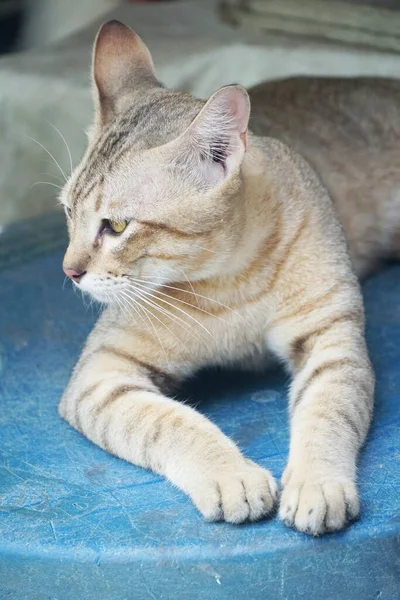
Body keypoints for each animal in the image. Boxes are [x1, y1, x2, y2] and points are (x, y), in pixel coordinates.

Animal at [60, 19, 400, 536]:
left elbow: (329, 412)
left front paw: (317, 483)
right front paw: (229, 475)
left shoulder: (332, 341)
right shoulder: (101, 372)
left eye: (116, 226)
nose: (70, 271)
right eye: (67, 212)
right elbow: (167, 422)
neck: (231, 281)